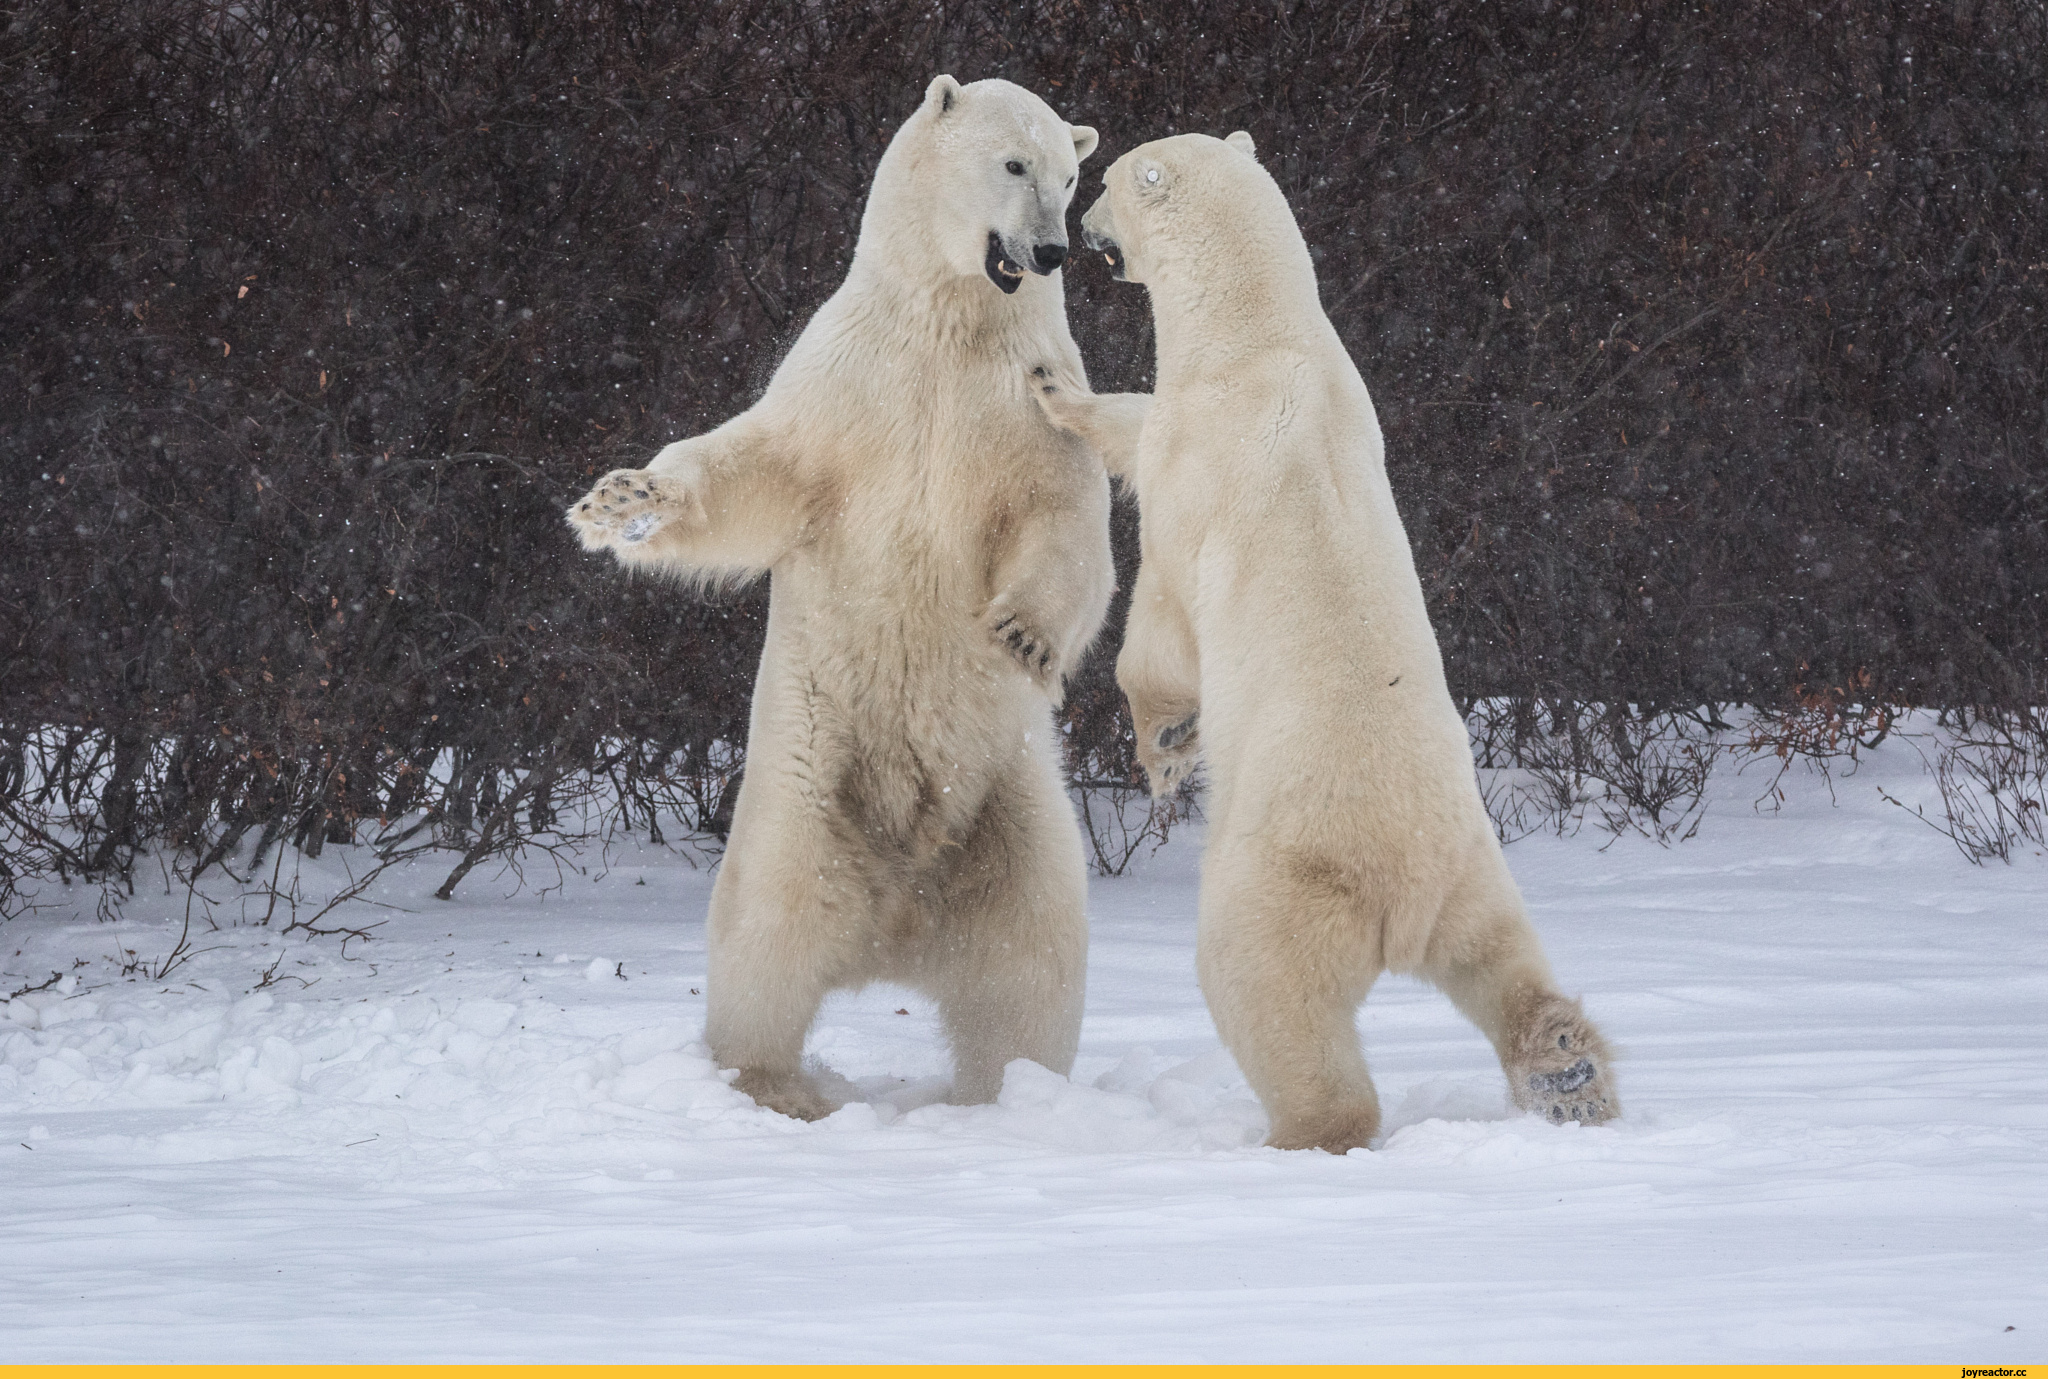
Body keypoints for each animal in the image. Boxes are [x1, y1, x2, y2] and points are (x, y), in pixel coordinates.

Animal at [561, 75, 1114, 1114]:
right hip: (805, 782)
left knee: (1029, 964)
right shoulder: (849, 386)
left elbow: (1067, 517)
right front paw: (622, 504)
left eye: (1071, 174)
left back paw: (1007, 1093)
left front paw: (1022, 633)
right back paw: (775, 1086)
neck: (952, 320)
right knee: (767, 939)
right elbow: (753, 469)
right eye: (1013, 163)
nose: (1052, 249)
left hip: (1014, 805)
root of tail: (898, 922)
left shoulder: (1036, 395)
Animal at [1032, 134, 1622, 1155]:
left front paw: (1165, 747)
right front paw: (1057, 387)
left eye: (1101, 183)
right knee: (1504, 961)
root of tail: (1403, 888)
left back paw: (1303, 1130)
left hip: (1285, 878)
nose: (1086, 235)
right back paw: (1567, 1072)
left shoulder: (1203, 465)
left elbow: (1161, 617)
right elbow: (1134, 421)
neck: (1265, 335)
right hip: (1474, 869)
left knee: (1267, 993)